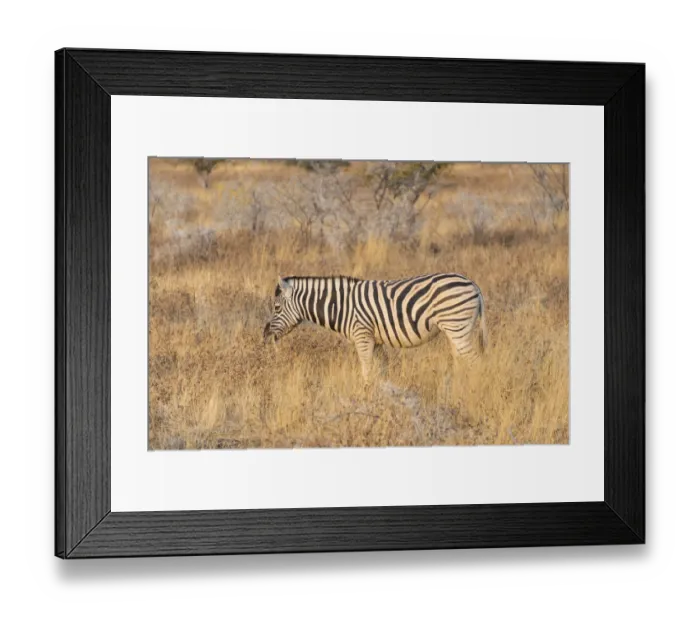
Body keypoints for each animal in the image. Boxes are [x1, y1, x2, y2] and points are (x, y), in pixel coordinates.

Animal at [263, 273, 488, 380]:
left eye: (276, 307)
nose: (265, 336)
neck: (341, 305)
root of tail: (473, 284)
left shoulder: (362, 336)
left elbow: (366, 372)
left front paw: (365, 398)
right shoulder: (377, 342)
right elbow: (381, 372)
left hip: (458, 327)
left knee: (476, 362)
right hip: (455, 331)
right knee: (462, 361)